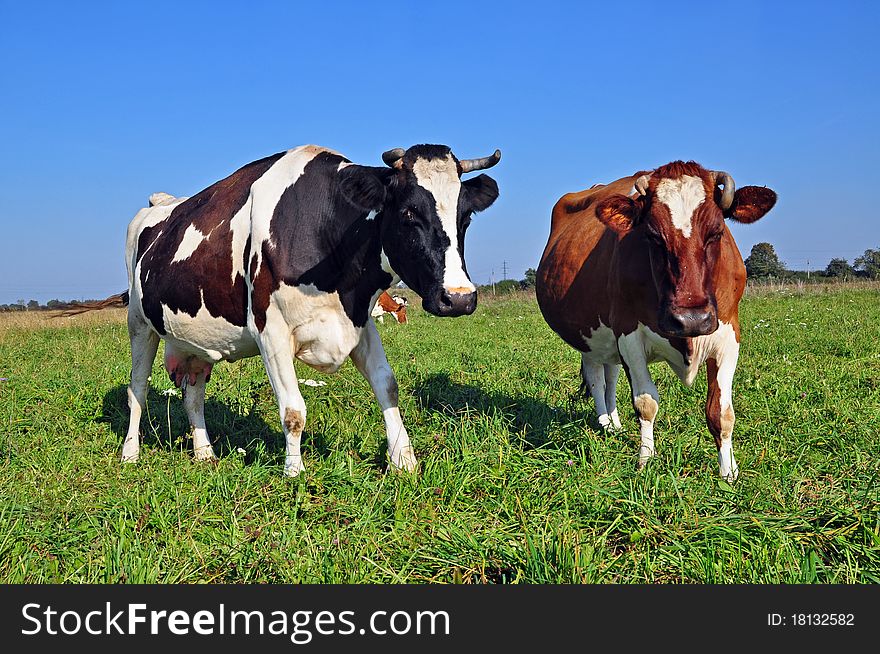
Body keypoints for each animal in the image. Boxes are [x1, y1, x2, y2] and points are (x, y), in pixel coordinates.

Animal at [127, 144, 506, 476]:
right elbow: (293, 410)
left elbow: (387, 385)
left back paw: (205, 453)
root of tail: (160, 202)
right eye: (409, 213)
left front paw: (404, 461)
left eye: (465, 216)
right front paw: (294, 472)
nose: (459, 298)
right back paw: (130, 453)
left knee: (193, 395)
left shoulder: (358, 320)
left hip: (198, 342)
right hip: (139, 322)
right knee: (138, 391)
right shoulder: (270, 330)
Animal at [536, 161, 776, 480]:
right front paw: (645, 459)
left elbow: (721, 412)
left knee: (610, 375)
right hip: (590, 338)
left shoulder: (728, 335)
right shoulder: (628, 334)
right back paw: (604, 423)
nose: (691, 319)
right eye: (652, 235)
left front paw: (728, 471)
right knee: (597, 378)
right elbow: (646, 402)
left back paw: (614, 424)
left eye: (717, 232)